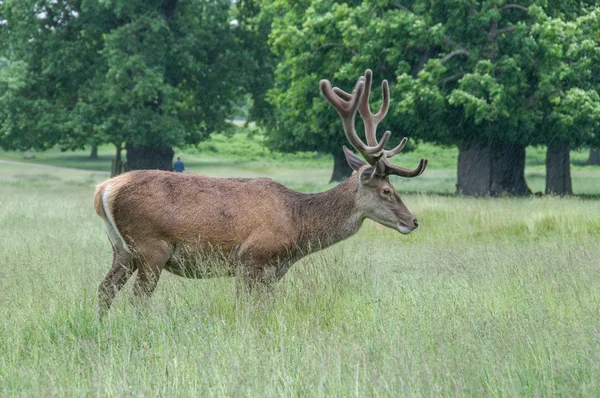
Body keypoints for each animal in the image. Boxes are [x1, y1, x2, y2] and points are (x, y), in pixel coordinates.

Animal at [94, 70, 426, 316]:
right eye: (387, 190)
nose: (413, 221)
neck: (298, 225)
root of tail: (104, 190)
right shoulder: (252, 257)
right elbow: (245, 308)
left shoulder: (271, 271)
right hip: (151, 246)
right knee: (137, 300)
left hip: (122, 249)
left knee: (104, 289)